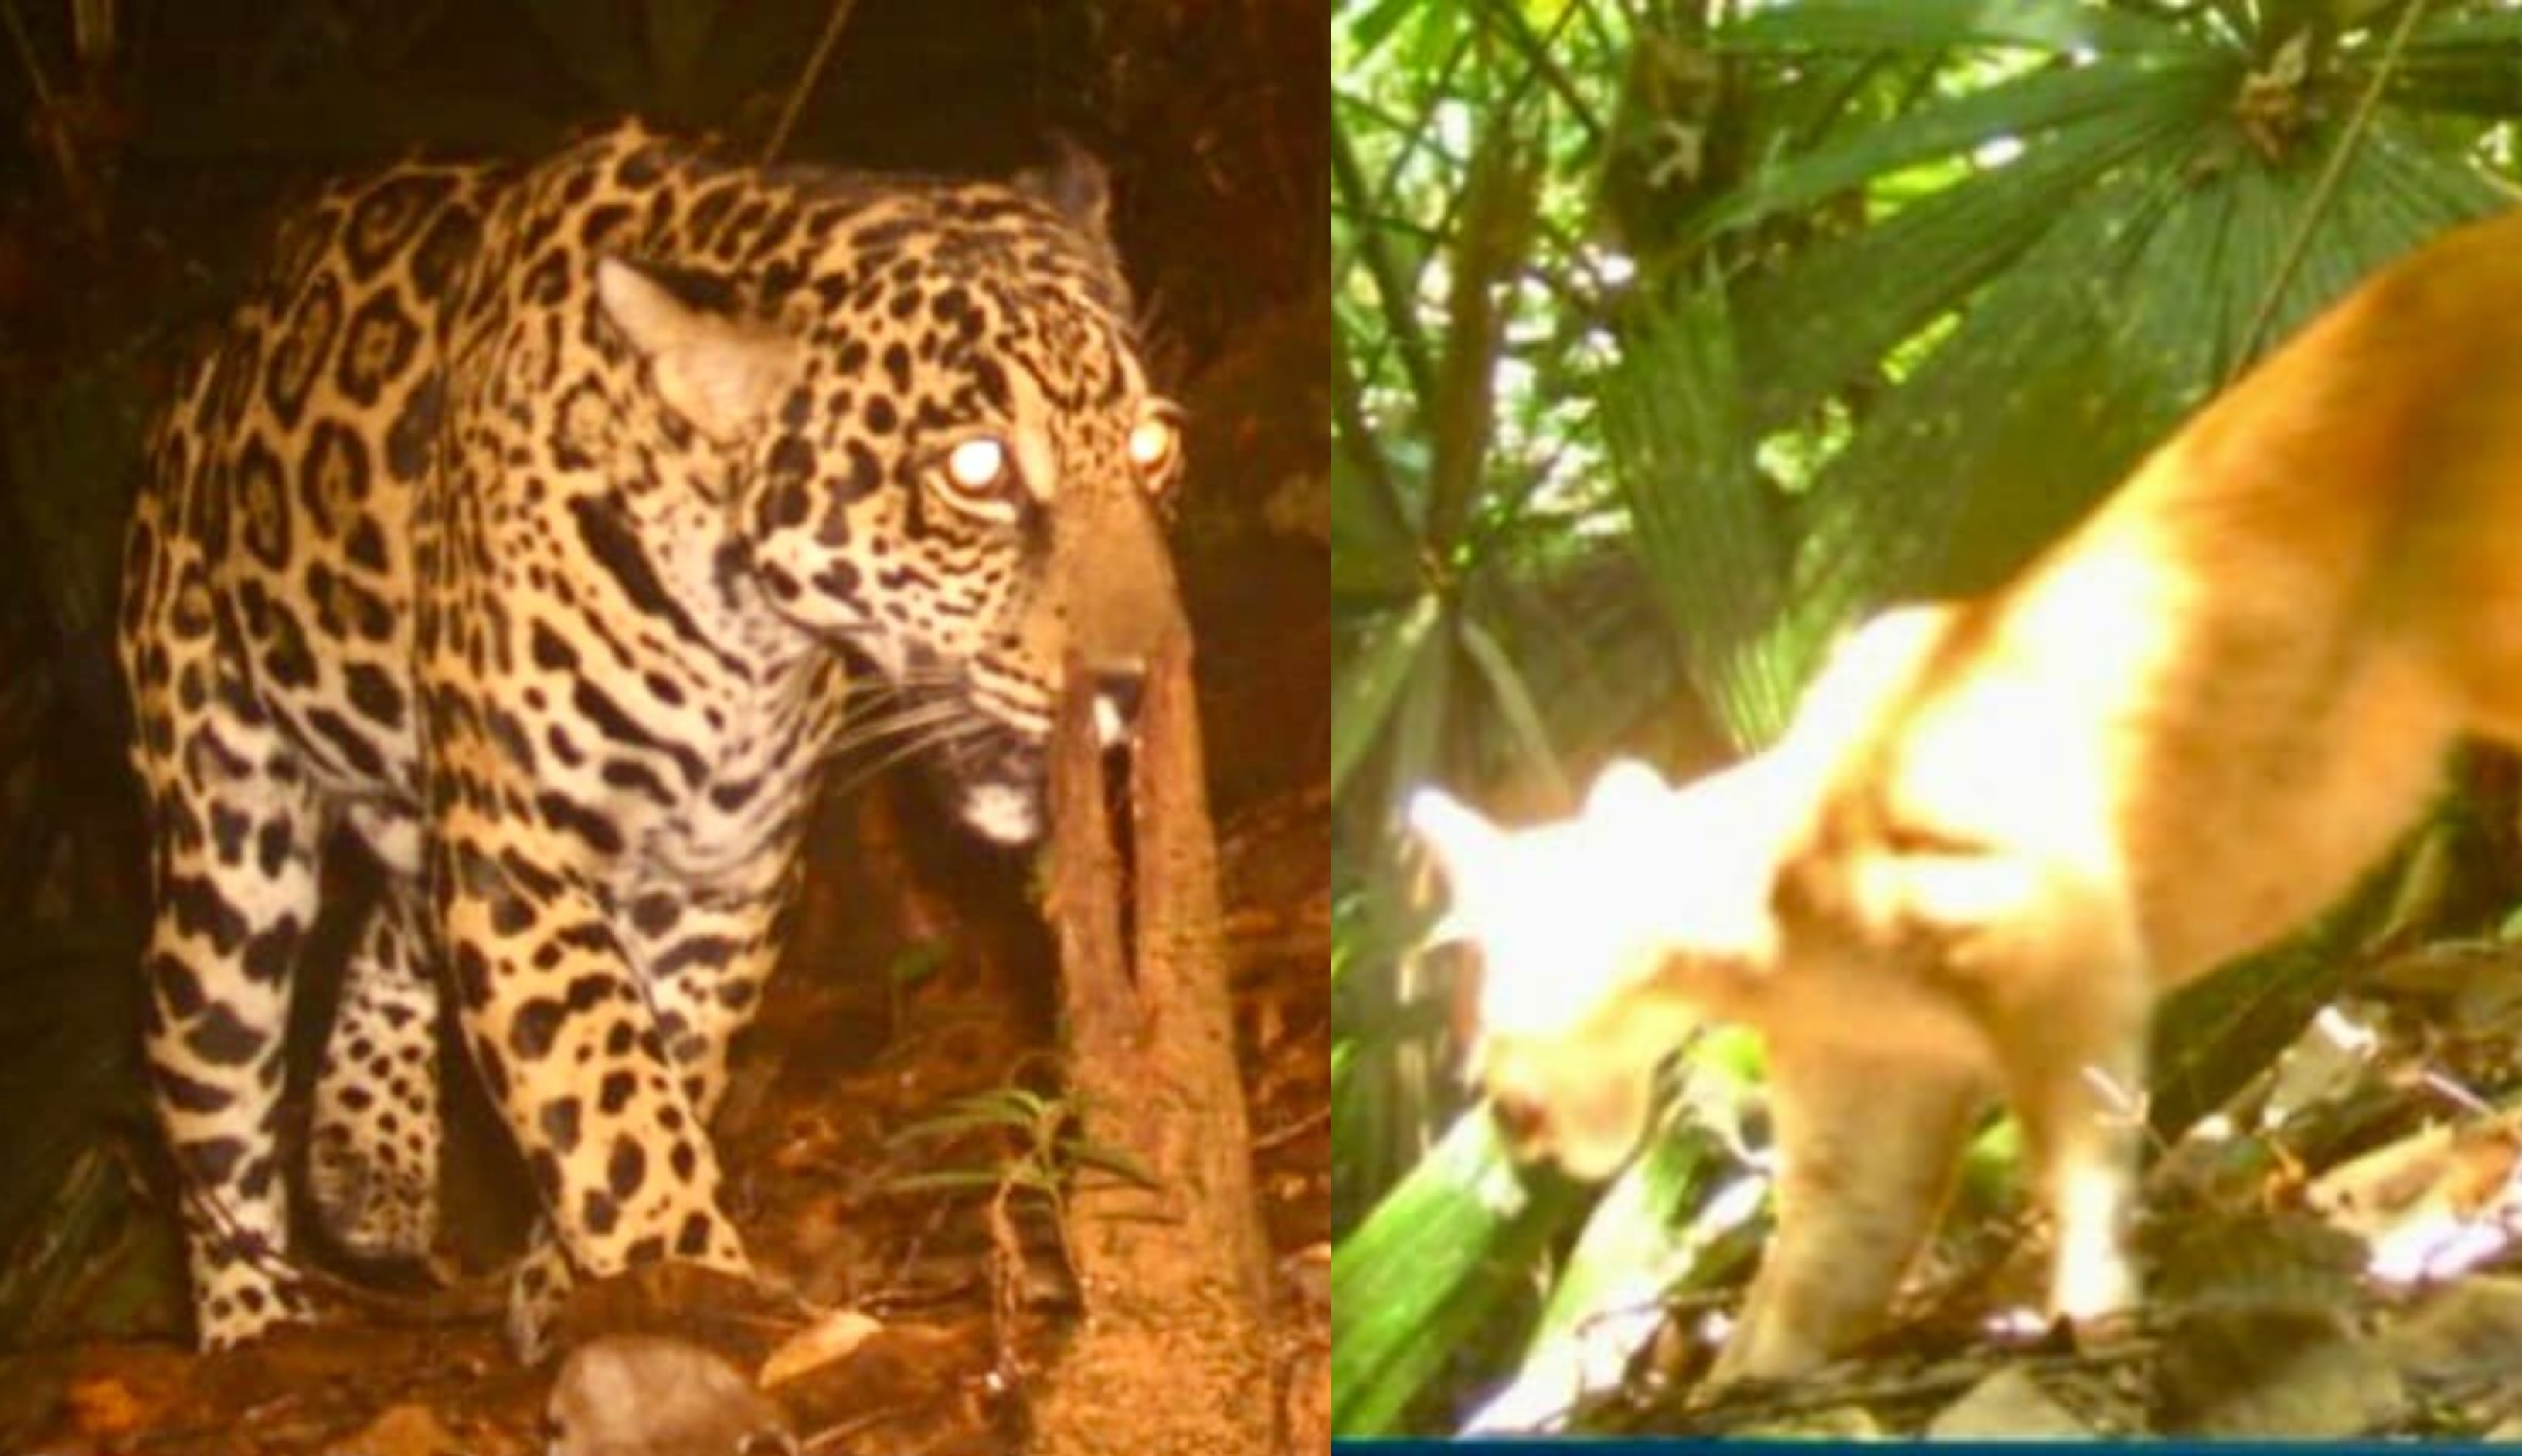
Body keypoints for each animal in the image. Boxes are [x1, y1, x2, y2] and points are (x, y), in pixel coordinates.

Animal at [116, 119, 1185, 1358]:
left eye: (1152, 445)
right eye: (977, 469)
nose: (1139, 684)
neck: (745, 633)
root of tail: (218, 353)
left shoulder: (723, 875)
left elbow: (658, 1057)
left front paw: (585, 1283)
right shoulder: (522, 850)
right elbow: (606, 1085)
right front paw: (687, 1274)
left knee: (400, 913)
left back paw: (365, 1157)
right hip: (223, 833)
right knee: (206, 1079)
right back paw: (256, 1319)